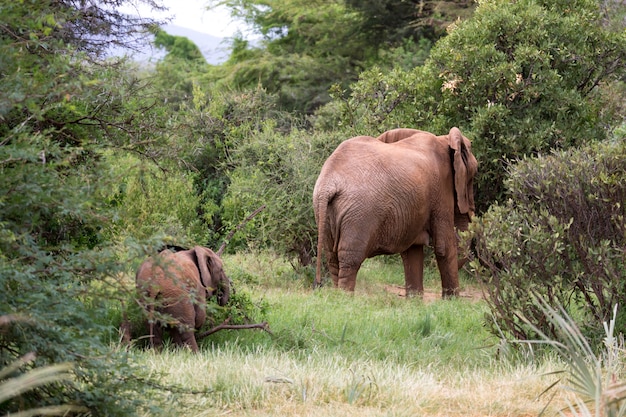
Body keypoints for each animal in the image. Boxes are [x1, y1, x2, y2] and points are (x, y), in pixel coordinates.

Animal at [312, 126, 478, 296]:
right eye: (474, 173)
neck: (445, 139)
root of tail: (327, 184)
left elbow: (412, 251)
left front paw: (415, 300)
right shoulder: (441, 192)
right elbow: (444, 247)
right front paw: (451, 301)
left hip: (325, 212)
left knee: (332, 259)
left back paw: (337, 296)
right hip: (358, 215)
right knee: (350, 259)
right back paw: (345, 298)